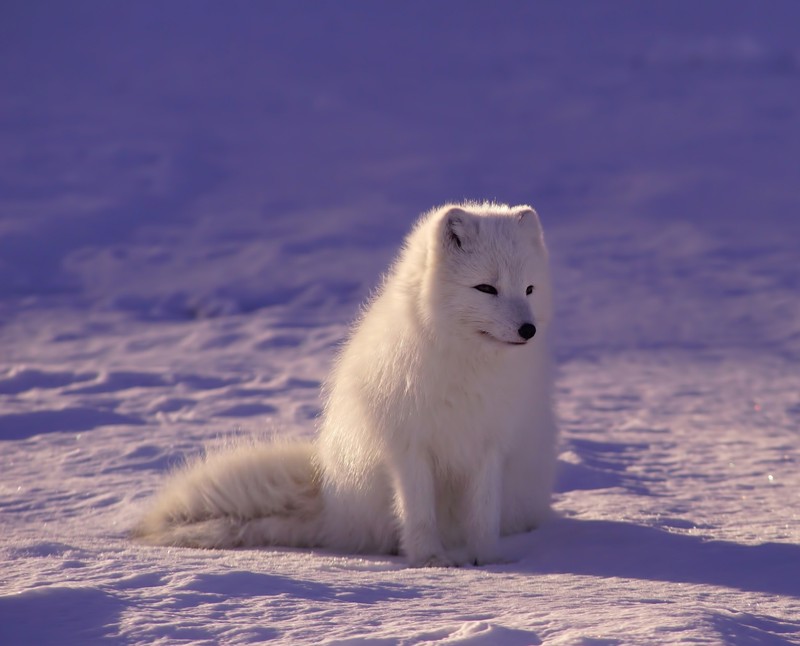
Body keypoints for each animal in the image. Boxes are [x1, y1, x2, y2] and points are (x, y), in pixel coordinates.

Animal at [134, 201, 556, 568]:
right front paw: (431, 561)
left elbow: (483, 515)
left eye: (529, 289)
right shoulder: (408, 446)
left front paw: (489, 561)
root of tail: (330, 501)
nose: (528, 330)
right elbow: (418, 513)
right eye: (486, 288)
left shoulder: (490, 445)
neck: (467, 365)